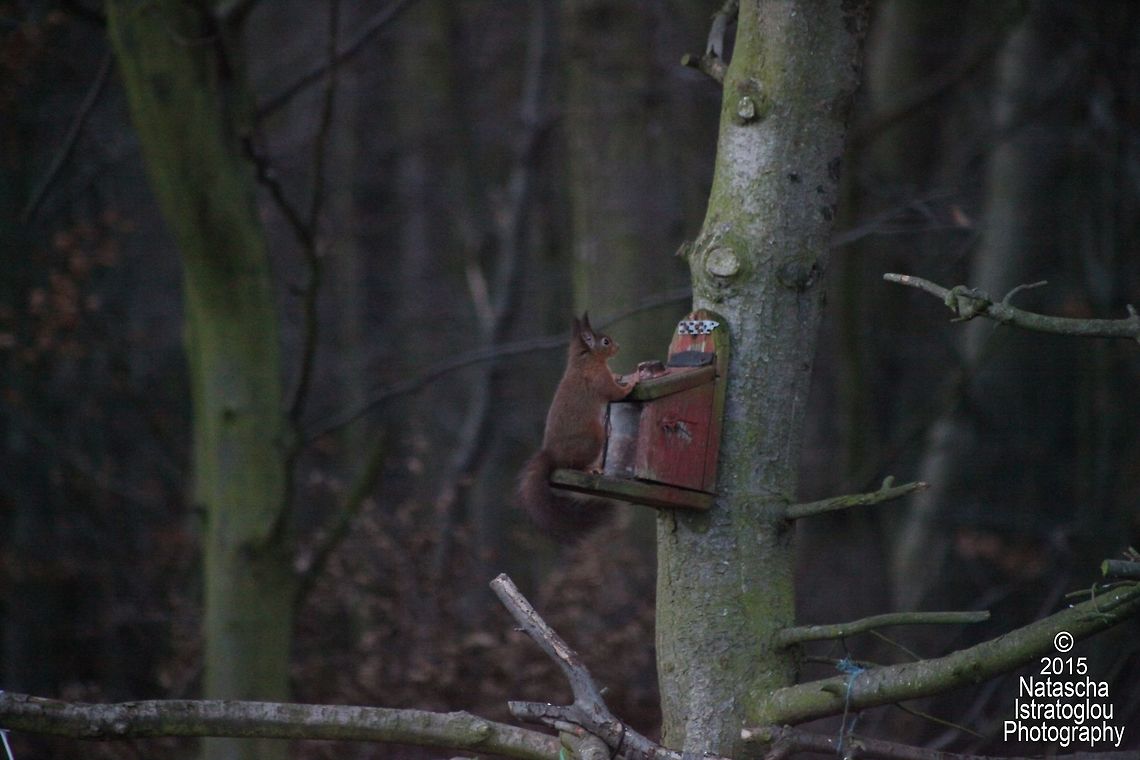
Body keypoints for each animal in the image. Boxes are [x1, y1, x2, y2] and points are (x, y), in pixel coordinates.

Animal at [517, 312, 637, 542]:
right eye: (605, 342)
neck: (584, 360)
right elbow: (617, 393)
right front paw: (634, 379)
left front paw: (619, 375)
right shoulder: (598, 379)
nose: (617, 346)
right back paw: (592, 469)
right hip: (594, 437)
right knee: (576, 465)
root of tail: (552, 455)